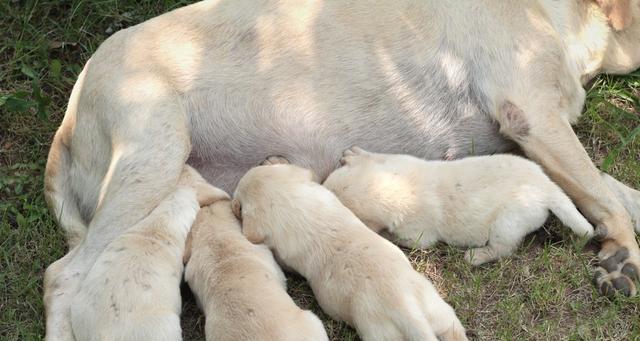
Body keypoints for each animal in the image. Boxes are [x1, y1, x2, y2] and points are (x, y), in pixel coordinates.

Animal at [324, 147, 596, 264]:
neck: (404, 187)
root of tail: (546, 187)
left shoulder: (419, 235)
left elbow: (402, 239)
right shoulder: (398, 161)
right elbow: (380, 156)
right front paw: (355, 154)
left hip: (508, 223)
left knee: (503, 248)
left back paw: (476, 256)